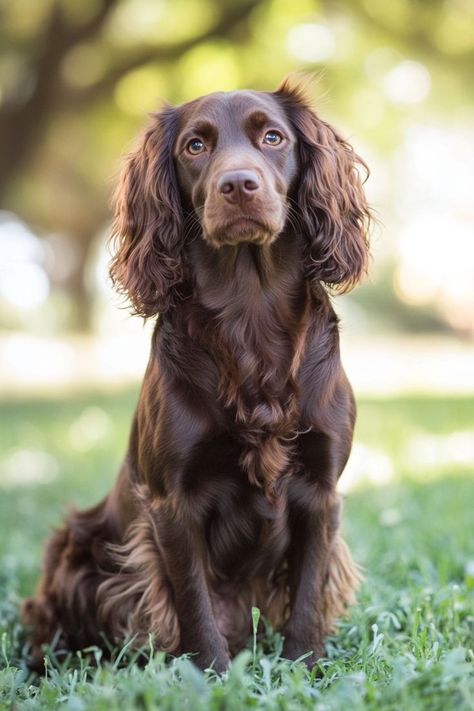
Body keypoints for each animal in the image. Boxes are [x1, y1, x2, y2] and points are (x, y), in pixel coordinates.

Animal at [23, 79, 370, 672]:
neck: (249, 313)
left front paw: (303, 668)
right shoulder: (172, 502)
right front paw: (211, 674)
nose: (239, 184)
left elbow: (306, 595)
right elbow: (192, 600)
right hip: (77, 548)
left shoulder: (321, 492)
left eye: (272, 137)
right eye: (195, 146)